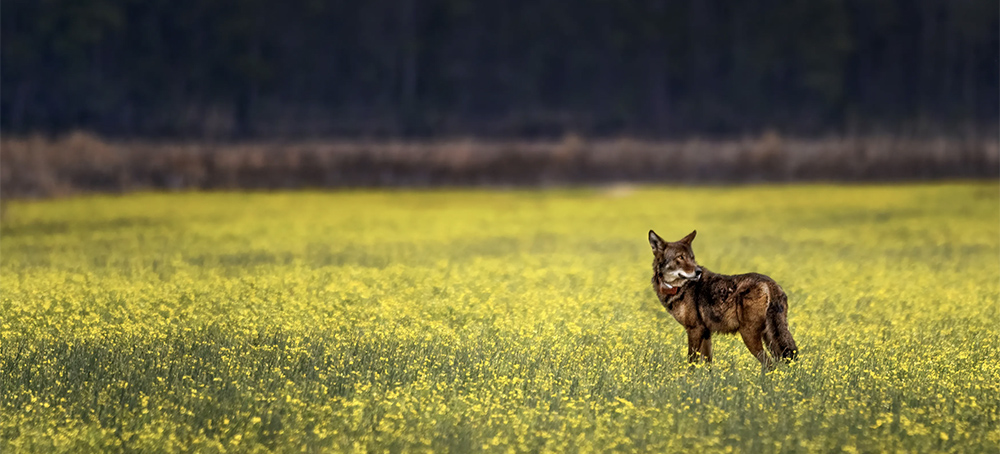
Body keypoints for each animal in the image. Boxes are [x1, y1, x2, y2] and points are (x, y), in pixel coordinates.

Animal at [648, 229, 796, 368]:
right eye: (680, 257)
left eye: (691, 258)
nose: (698, 271)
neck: (680, 288)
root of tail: (770, 283)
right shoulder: (706, 333)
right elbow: (708, 365)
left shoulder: (694, 330)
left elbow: (691, 363)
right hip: (770, 338)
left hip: (750, 336)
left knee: (769, 364)